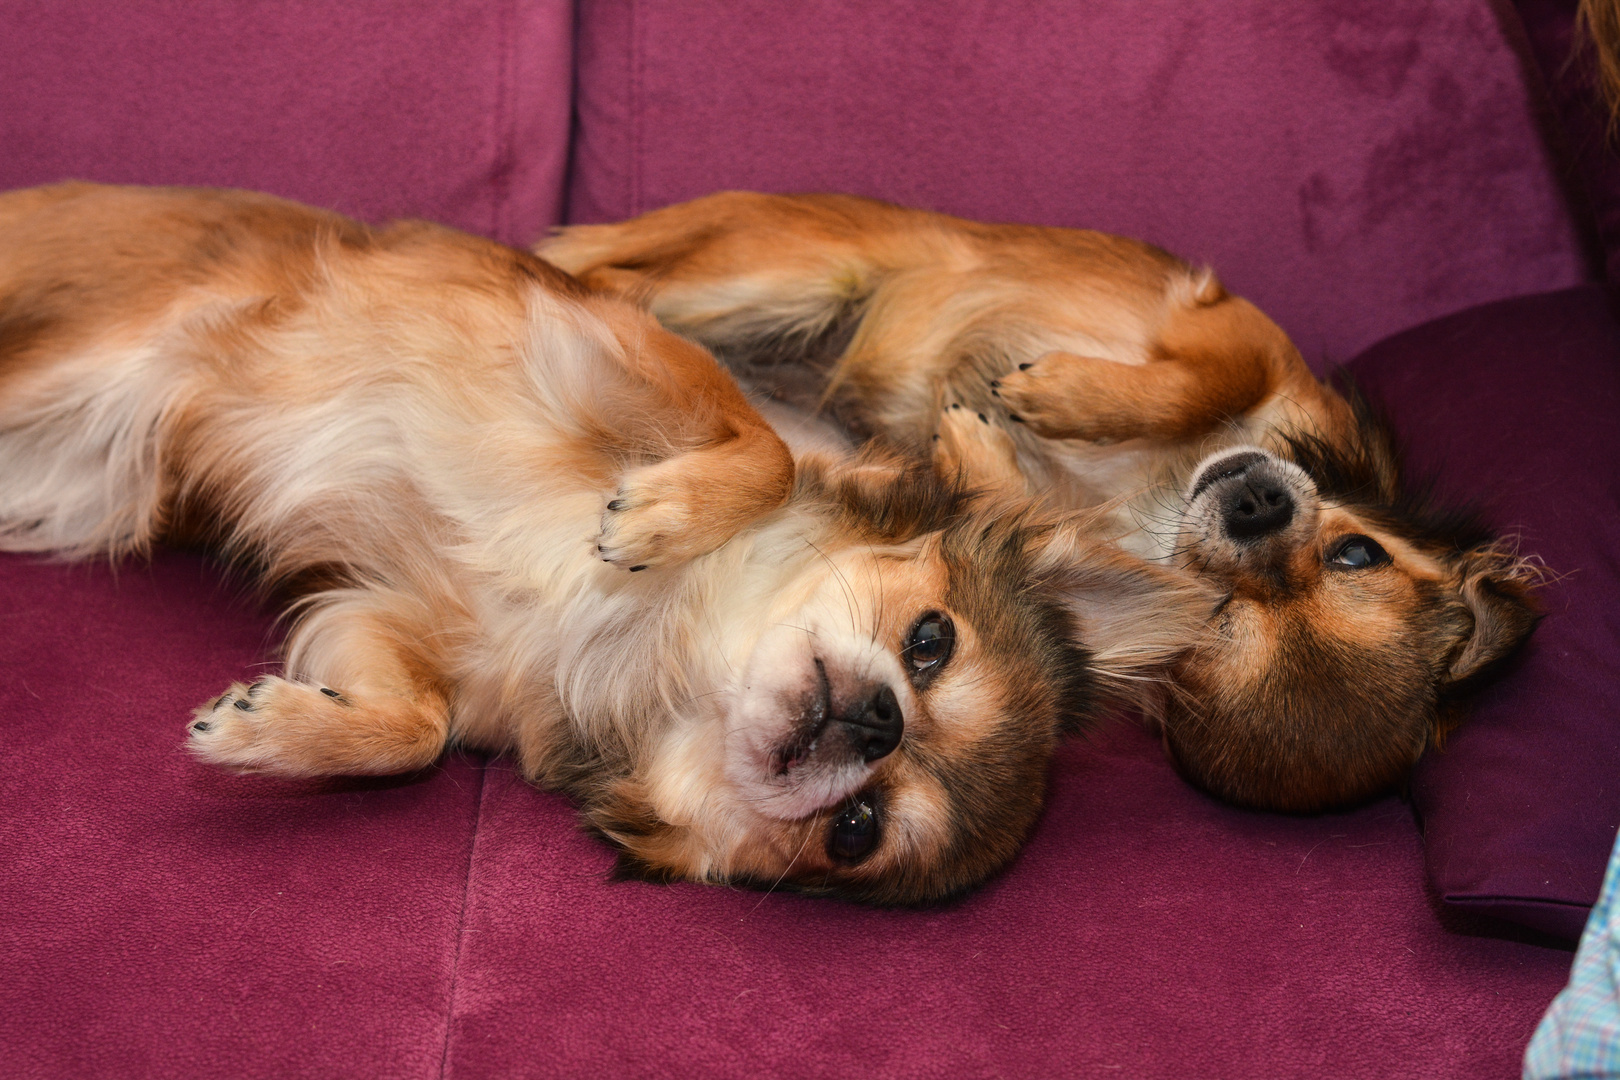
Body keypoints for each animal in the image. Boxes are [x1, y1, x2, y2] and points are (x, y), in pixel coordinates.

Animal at [544, 194, 1542, 816]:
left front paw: (987, 440)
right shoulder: (1242, 335)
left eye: (1218, 624)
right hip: (796, 269)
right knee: (600, 278)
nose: (1256, 504)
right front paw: (1062, 395)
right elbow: (1205, 379)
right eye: (1355, 551)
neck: (1149, 505)